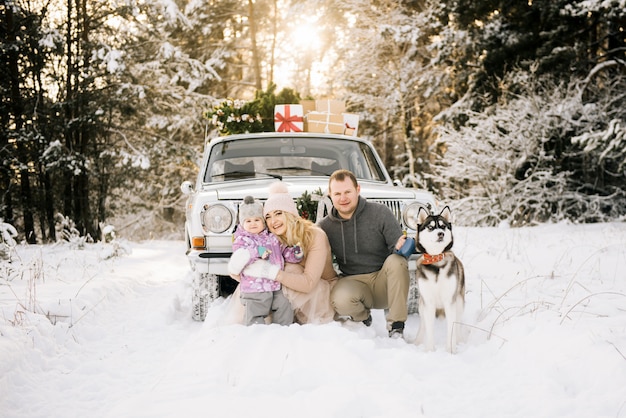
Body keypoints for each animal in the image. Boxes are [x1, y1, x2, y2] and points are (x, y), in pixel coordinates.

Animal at [414, 206, 464, 352]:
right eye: (430, 227)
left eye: (443, 226)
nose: (440, 234)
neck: (435, 260)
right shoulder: (428, 302)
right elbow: (430, 330)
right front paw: (430, 351)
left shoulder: (450, 301)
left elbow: (451, 329)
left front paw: (450, 351)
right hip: (422, 306)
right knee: (423, 326)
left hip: (459, 303)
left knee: (458, 325)